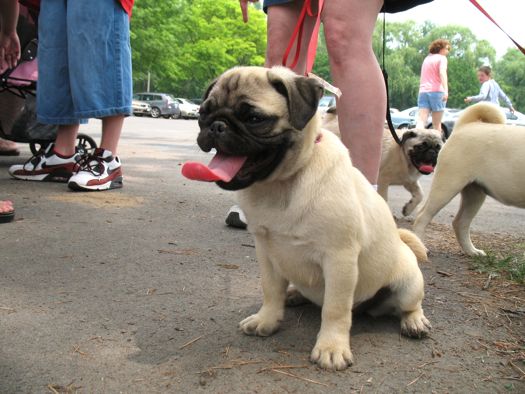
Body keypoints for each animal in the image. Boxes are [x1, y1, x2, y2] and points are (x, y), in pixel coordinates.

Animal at [183, 66, 430, 370]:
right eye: (203, 113)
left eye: (254, 119)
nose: (216, 126)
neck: (280, 184)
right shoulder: (266, 253)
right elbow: (270, 290)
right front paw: (267, 320)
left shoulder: (339, 259)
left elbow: (335, 309)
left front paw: (331, 347)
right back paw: (294, 294)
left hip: (408, 283)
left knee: (409, 305)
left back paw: (415, 322)